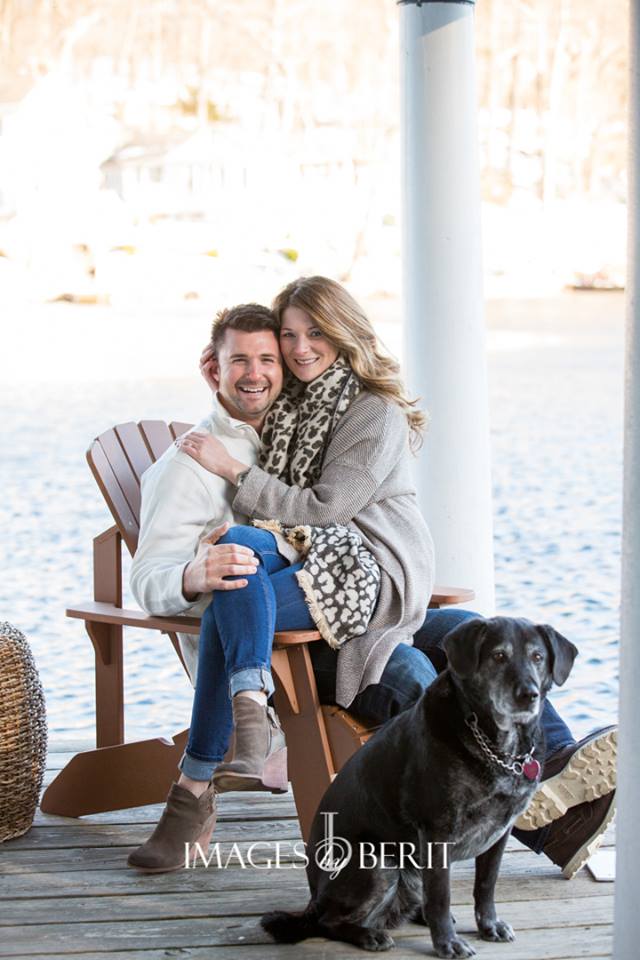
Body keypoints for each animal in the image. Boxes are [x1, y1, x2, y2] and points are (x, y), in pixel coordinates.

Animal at [262, 620, 576, 956]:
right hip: (378, 861)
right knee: (328, 922)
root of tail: (313, 899)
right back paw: (368, 935)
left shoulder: (499, 833)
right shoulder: (437, 832)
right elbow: (441, 895)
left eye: (538, 657)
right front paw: (447, 943)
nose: (529, 694)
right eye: (499, 656)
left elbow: (486, 886)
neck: (496, 747)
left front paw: (489, 926)